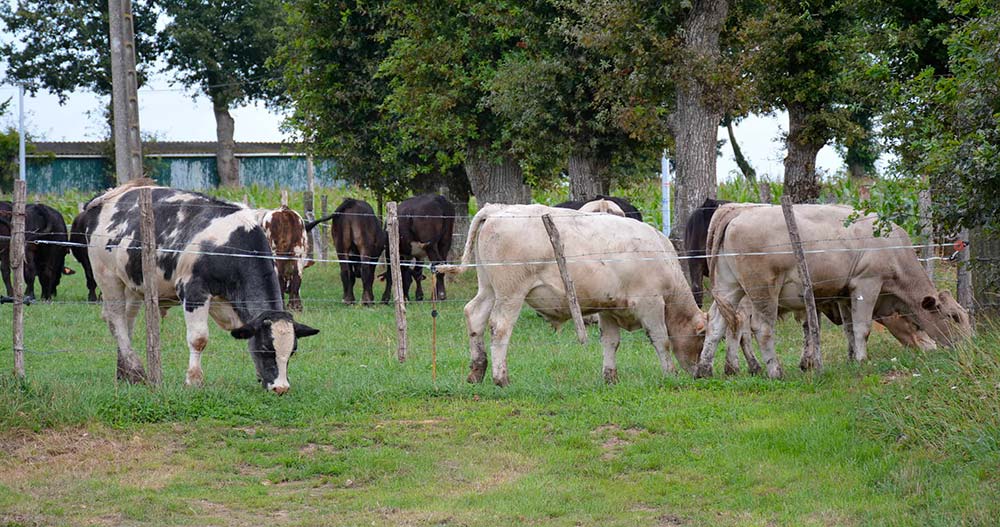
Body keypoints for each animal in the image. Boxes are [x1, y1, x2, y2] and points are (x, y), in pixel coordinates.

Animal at [80, 182, 318, 392]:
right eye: (267, 348)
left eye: (292, 351)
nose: (281, 388)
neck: (229, 246)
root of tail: (107, 196)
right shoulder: (194, 291)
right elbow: (199, 339)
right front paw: (194, 380)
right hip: (108, 277)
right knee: (116, 320)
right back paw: (136, 370)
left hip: (133, 284)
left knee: (126, 322)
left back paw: (124, 371)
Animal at [442, 204, 708, 386]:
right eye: (702, 339)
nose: (701, 374)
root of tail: (497, 208)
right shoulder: (650, 303)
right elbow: (661, 339)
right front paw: (670, 374)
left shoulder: (609, 307)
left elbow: (611, 342)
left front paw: (610, 378)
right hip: (510, 292)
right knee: (500, 327)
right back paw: (501, 378)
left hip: (488, 288)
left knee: (475, 315)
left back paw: (477, 371)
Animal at [704, 203, 968, 380]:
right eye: (954, 317)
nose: (970, 345)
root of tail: (738, 212)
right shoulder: (867, 283)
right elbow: (863, 328)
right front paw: (862, 360)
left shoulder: (844, 293)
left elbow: (850, 329)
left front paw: (851, 358)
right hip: (762, 290)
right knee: (760, 327)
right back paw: (774, 371)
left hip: (729, 287)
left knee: (717, 322)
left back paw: (704, 369)